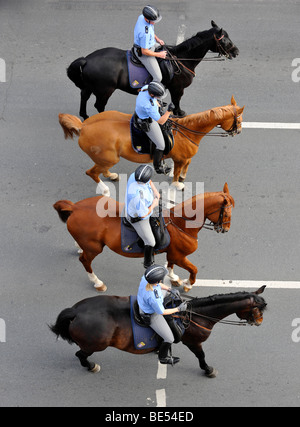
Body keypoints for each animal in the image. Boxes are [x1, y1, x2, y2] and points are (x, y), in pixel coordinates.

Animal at [49, 288, 268, 378]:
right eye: (257, 309)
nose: (259, 322)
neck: (194, 314)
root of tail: (76, 311)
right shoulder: (193, 342)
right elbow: (201, 356)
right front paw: (208, 369)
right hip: (95, 344)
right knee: (80, 354)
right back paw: (91, 366)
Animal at [52, 184, 236, 294]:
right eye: (227, 213)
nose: (226, 229)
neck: (180, 223)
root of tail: (75, 207)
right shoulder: (179, 255)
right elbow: (193, 269)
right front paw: (188, 284)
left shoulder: (173, 254)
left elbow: (170, 265)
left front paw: (174, 278)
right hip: (94, 248)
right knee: (85, 261)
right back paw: (97, 282)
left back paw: (78, 246)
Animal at [58, 96, 244, 195]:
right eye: (239, 120)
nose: (239, 131)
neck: (187, 131)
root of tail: (83, 126)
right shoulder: (179, 159)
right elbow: (178, 171)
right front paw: (178, 183)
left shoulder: (185, 158)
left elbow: (185, 168)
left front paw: (181, 177)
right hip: (108, 158)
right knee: (92, 173)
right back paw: (104, 189)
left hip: (107, 159)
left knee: (100, 170)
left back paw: (111, 175)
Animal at [67, 21, 239, 119]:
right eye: (224, 39)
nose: (236, 51)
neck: (181, 58)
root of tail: (87, 59)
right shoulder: (178, 88)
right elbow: (177, 101)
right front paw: (179, 113)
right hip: (105, 90)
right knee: (99, 106)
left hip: (90, 87)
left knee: (84, 97)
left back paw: (85, 116)